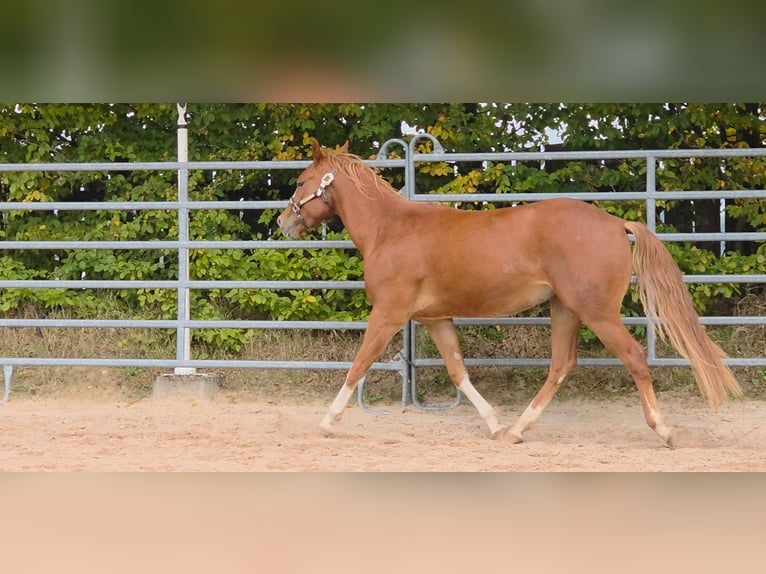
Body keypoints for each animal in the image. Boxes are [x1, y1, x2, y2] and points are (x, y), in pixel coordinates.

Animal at [277, 138, 742, 447]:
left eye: (301, 181)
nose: (283, 222)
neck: (390, 231)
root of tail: (615, 223)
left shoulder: (389, 314)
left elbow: (357, 366)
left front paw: (327, 422)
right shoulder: (435, 318)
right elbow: (458, 372)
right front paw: (496, 424)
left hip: (597, 312)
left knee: (634, 359)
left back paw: (664, 430)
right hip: (565, 309)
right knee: (561, 365)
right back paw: (518, 430)